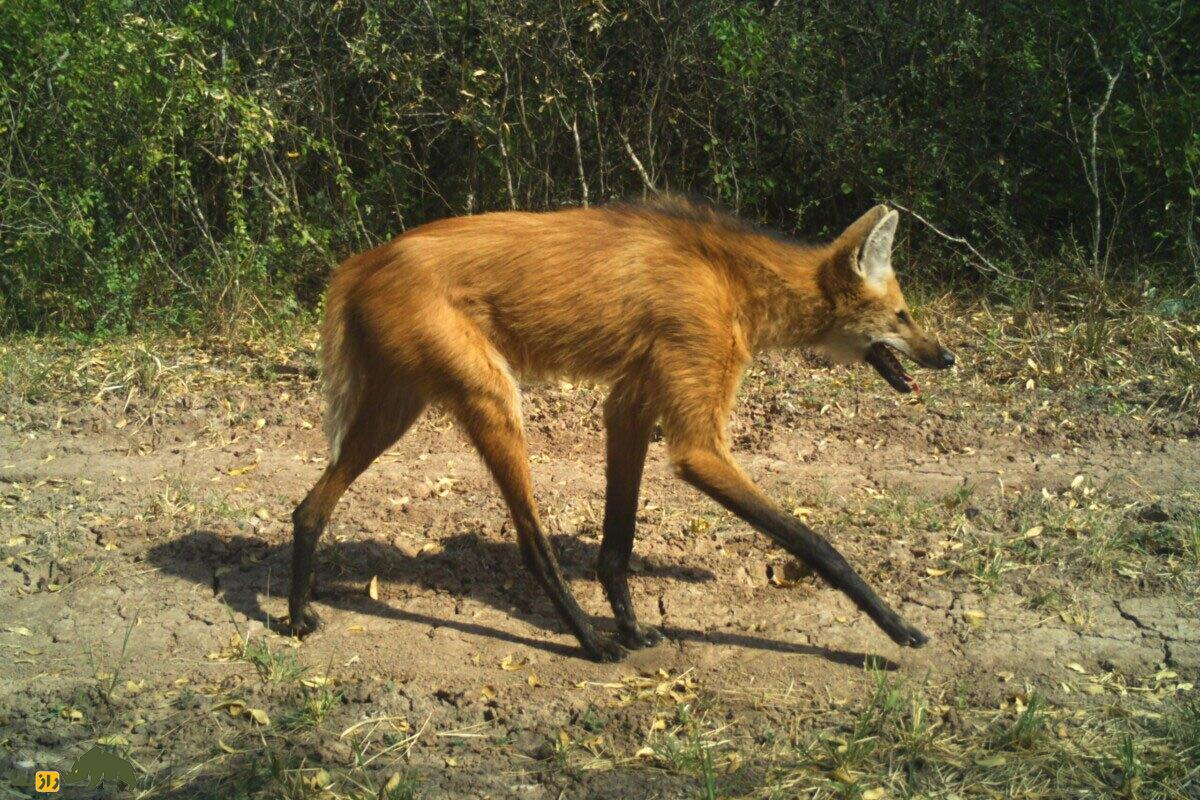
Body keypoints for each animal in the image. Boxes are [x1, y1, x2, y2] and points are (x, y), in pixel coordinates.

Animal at [290, 200, 955, 662]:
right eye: (903, 316)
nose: (946, 357)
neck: (733, 280)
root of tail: (361, 262)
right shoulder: (695, 444)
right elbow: (819, 545)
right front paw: (897, 626)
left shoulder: (630, 407)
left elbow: (619, 541)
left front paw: (633, 626)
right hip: (492, 399)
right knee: (533, 544)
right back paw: (589, 641)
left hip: (398, 407)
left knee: (308, 508)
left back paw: (296, 615)